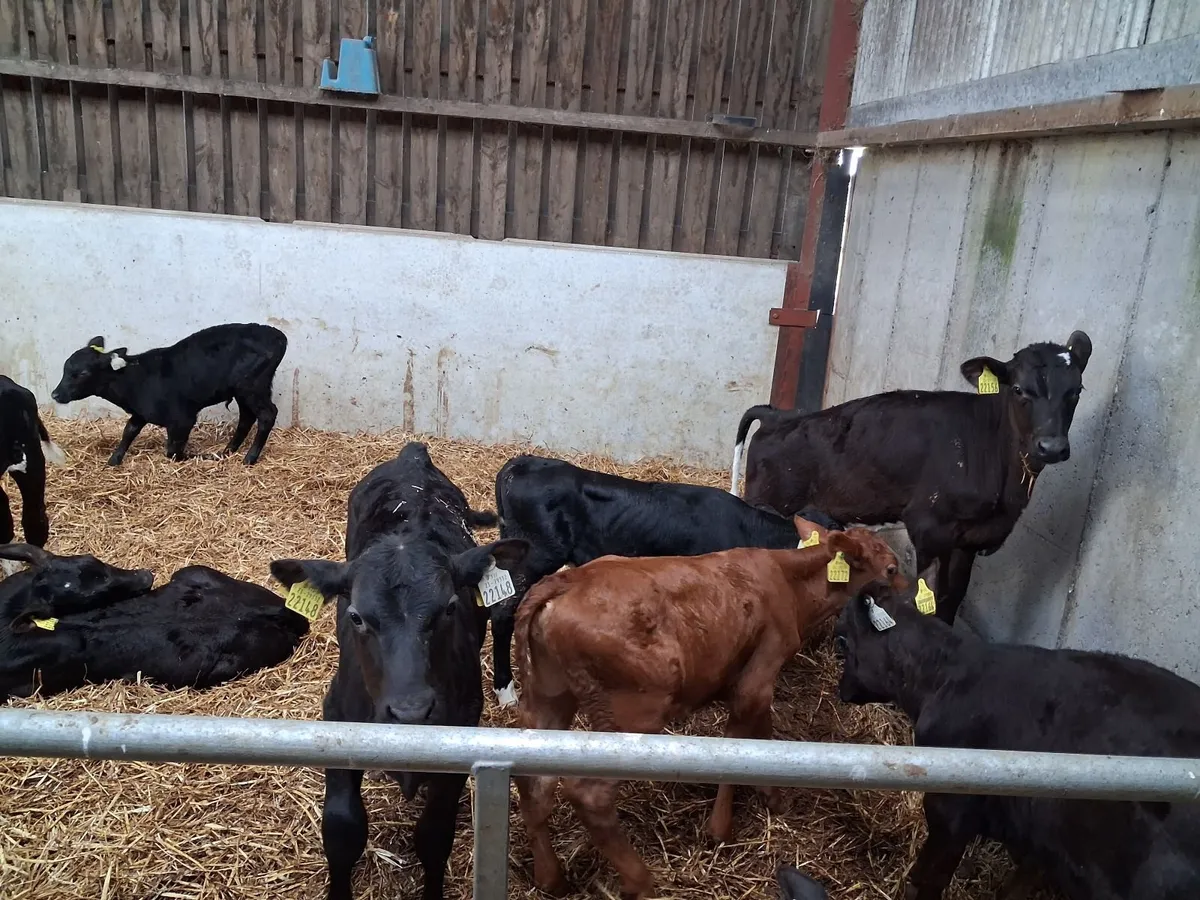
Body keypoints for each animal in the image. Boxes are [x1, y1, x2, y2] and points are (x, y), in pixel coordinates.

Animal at [50, 323, 288, 465]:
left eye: (81, 373)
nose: (55, 394)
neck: (135, 380)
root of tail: (277, 336)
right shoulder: (141, 413)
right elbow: (129, 430)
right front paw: (115, 459)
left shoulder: (182, 419)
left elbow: (173, 452)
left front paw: (194, 456)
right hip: (244, 390)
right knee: (247, 417)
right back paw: (229, 450)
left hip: (252, 386)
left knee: (267, 414)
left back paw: (249, 457)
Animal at [269, 442, 526, 900]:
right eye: (355, 616)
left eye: (450, 607)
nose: (410, 713)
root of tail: (413, 455)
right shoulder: (337, 717)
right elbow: (342, 829)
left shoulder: (462, 729)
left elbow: (434, 837)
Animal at [513, 527, 903, 899]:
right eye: (891, 568)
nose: (906, 591)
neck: (789, 581)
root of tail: (568, 579)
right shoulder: (759, 673)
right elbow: (737, 746)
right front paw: (720, 828)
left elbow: (764, 735)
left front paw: (774, 796)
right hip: (632, 713)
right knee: (589, 794)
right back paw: (641, 882)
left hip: (550, 697)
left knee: (534, 781)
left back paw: (551, 878)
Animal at [729, 332, 1092, 625]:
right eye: (1018, 389)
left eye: (1076, 390)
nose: (1051, 447)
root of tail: (778, 415)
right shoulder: (929, 528)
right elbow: (927, 596)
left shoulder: (971, 541)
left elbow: (952, 598)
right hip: (767, 499)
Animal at [834, 574, 1200, 900]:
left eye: (844, 642)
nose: (841, 690)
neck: (943, 676)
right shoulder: (1040, 832)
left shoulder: (951, 806)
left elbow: (929, 876)